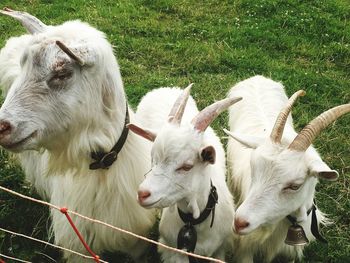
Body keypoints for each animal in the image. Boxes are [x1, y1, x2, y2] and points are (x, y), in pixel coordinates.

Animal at [0, 7, 156, 262]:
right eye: (24, 67)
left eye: (62, 73)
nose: (2, 126)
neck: (101, 165)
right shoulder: (78, 245)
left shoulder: (135, 238)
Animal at [127, 86, 239, 262]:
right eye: (153, 159)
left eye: (187, 166)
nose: (142, 194)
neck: (194, 223)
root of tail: (165, 88)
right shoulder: (172, 250)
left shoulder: (220, 249)